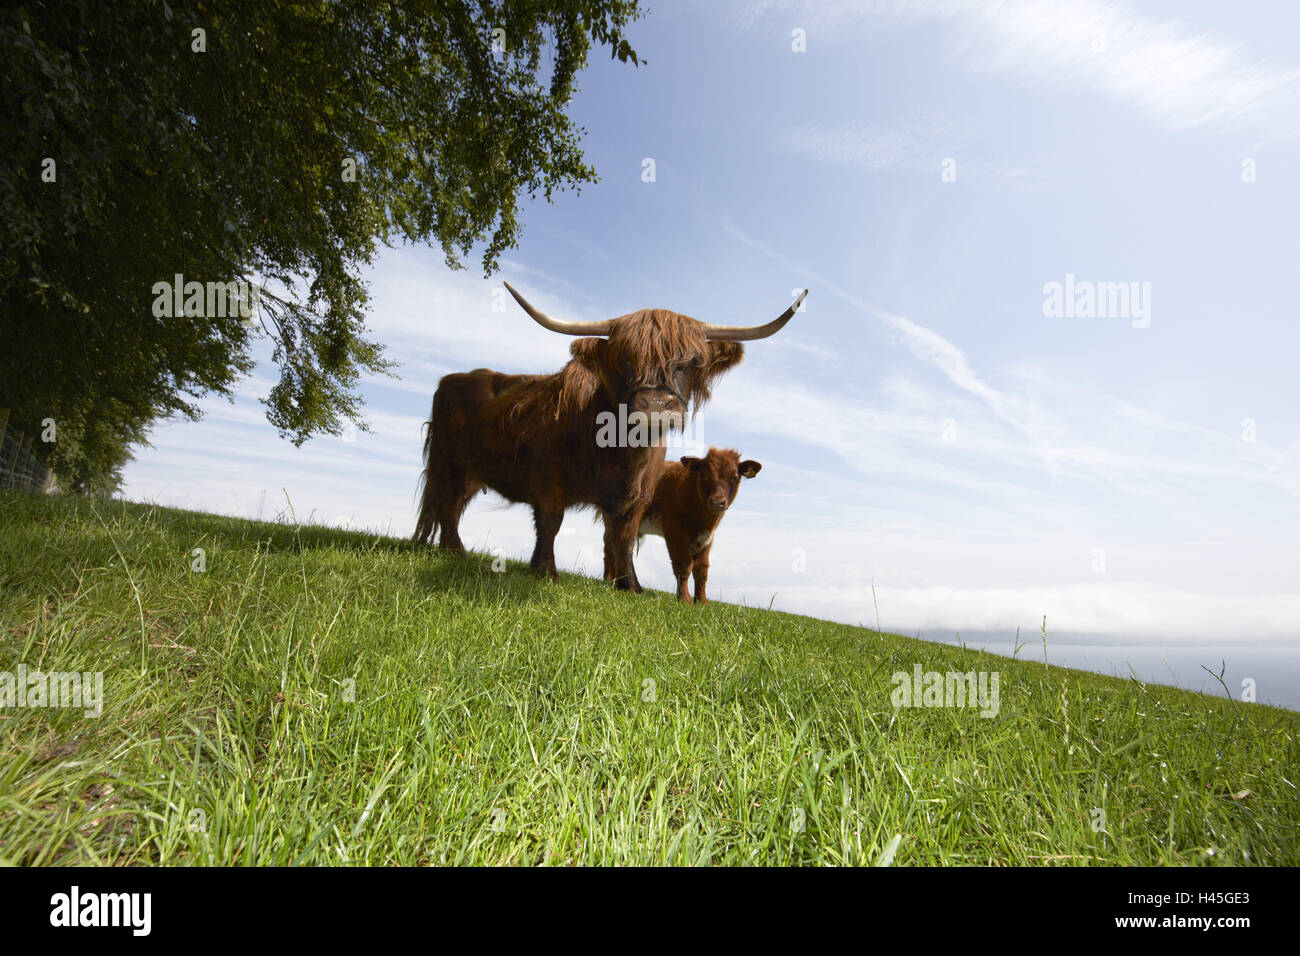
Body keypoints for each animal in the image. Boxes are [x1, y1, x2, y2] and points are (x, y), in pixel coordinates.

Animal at [634, 450, 759, 606]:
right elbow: (684, 564)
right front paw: (684, 599)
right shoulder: (675, 530)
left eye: (735, 477)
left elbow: (701, 570)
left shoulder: (707, 537)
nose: (717, 502)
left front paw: (702, 601)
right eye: (703, 474)